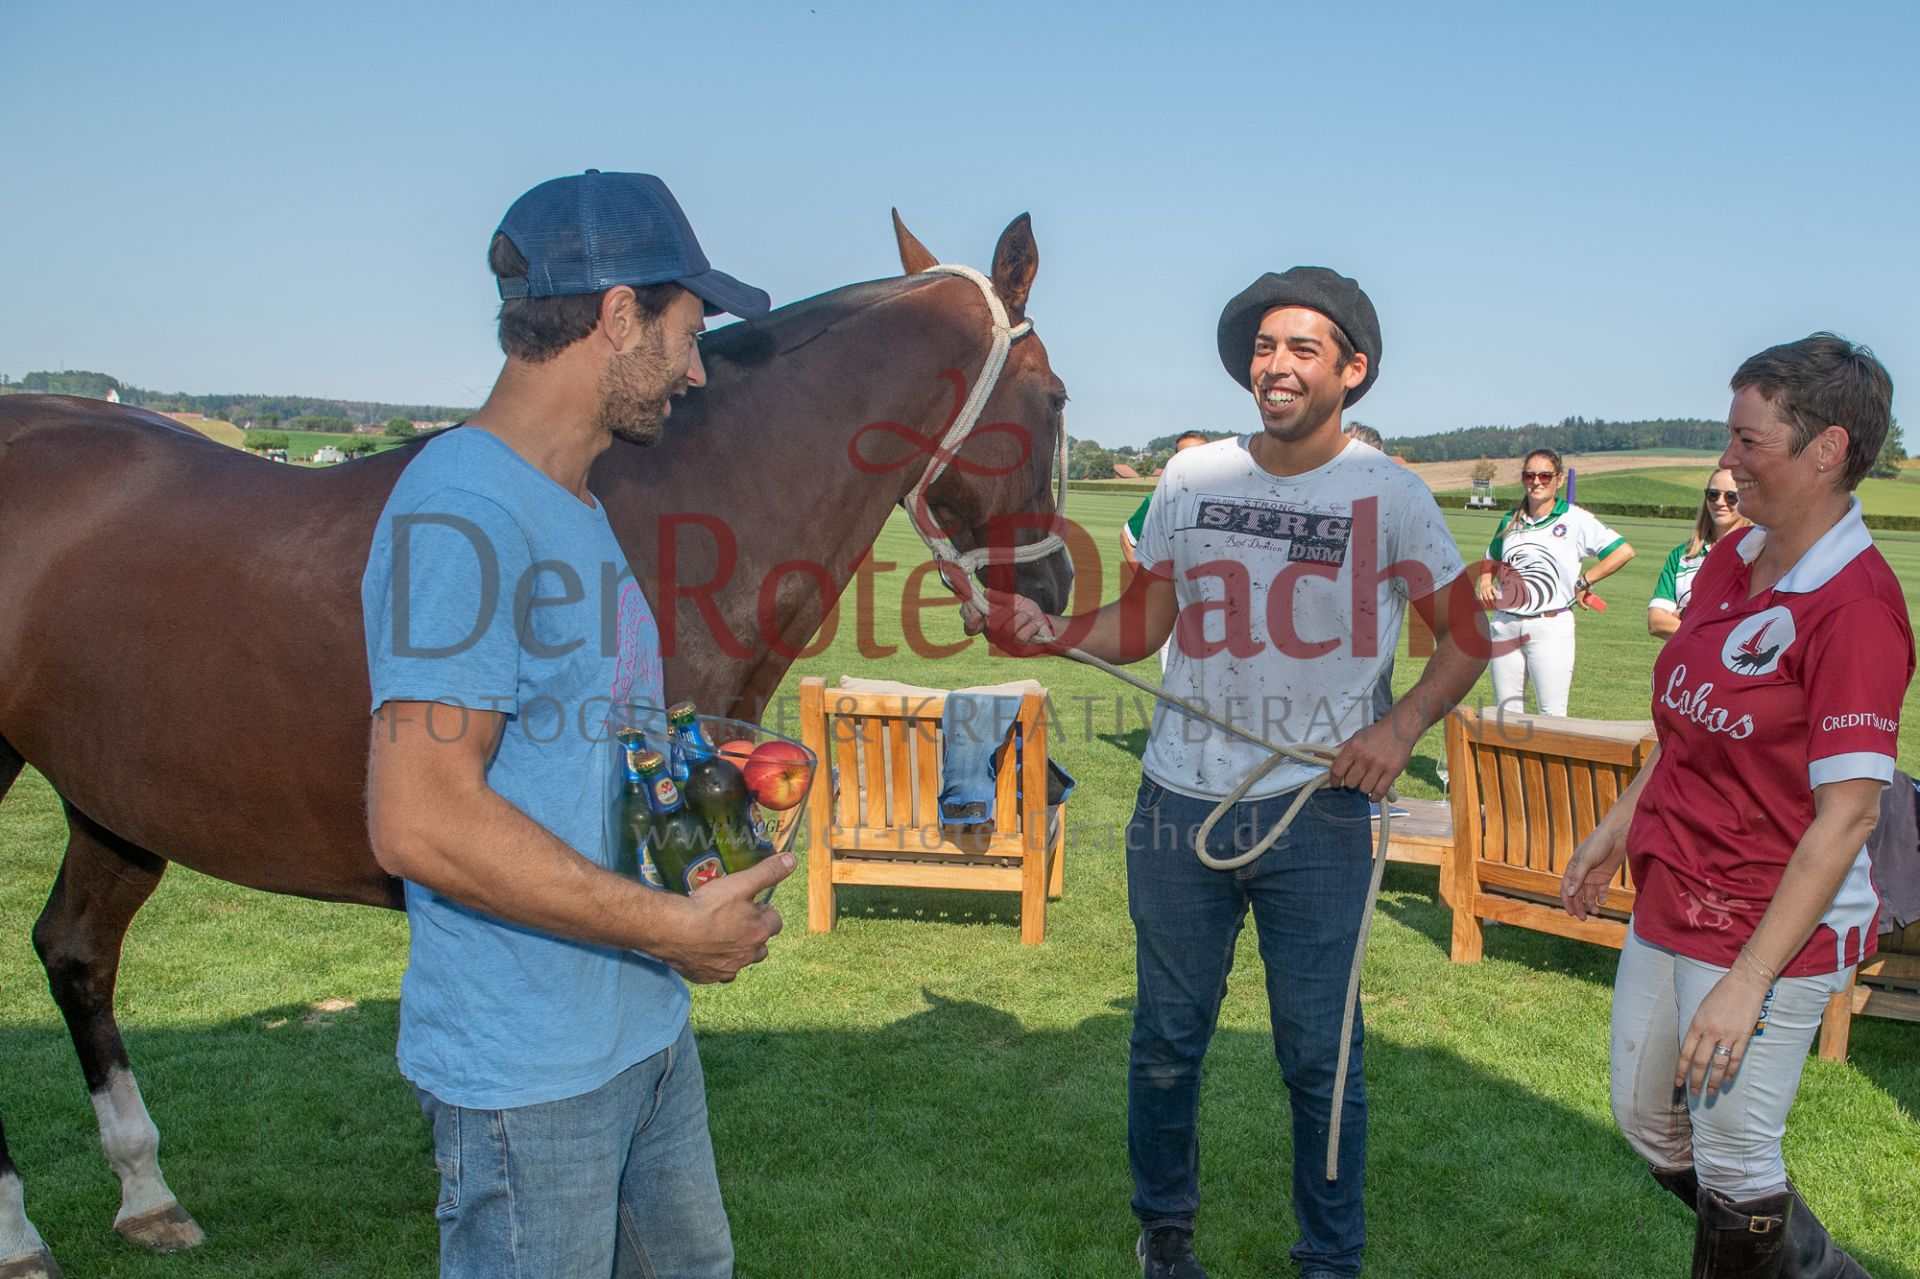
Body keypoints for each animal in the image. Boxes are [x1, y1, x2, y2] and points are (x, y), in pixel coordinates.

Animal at [0, 212, 1074, 1279]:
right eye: (1057, 397)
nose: (1057, 586)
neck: (662, 504)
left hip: (117, 798)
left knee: (77, 949)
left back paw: (146, 1194)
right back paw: (19, 1233)